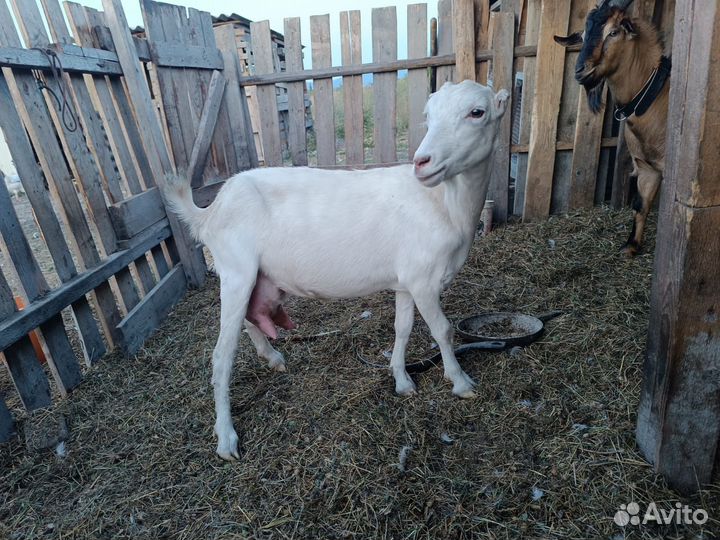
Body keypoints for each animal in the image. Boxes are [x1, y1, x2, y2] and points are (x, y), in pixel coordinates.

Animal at [165, 81, 509, 460]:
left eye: (477, 112)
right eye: (428, 115)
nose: (422, 162)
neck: (445, 204)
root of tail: (212, 209)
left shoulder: (407, 281)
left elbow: (402, 329)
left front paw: (402, 380)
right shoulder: (424, 280)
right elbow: (443, 330)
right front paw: (461, 382)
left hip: (252, 276)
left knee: (249, 320)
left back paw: (271, 357)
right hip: (235, 269)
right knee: (221, 355)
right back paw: (226, 438)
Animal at [555, 0, 669, 256]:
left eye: (614, 32)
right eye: (583, 35)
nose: (580, 70)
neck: (655, 97)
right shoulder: (647, 168)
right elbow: (640, 205)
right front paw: (631, 247)